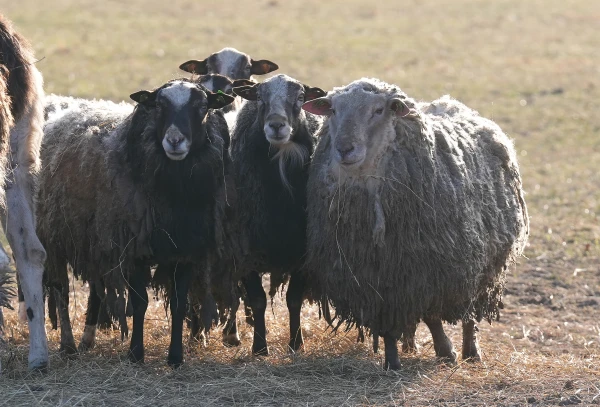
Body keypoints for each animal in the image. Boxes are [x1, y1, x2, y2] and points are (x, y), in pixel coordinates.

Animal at [37, 79, 234, 366]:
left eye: (202, 106)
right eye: (159, 105)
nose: (174, 141)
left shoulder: (185, 250)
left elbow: (179, 304)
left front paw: (176, 357)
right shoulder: (134, 249)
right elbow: (140, 303)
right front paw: (135, 353)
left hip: (96, 240)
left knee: (95, 289)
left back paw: (87, 339)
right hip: (54, 236)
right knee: (60, 290)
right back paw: (68, 345)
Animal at [227, 75, 326, 356]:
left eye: (301, 97)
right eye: (260, 97)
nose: (276, 125)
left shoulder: (303, 252)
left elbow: (294, 300)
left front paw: (296, 343)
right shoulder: (245, 250)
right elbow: (258, 299)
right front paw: (260, 347)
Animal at [304, 78, 528, 372]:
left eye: (378, 110)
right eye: (332, 110)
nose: (344, 149)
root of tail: (450, 103)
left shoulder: (429, 267)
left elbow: (432, 316)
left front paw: (446, 352)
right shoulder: (375, 278)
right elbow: (387, 323)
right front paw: (392, 361)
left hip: (480, 264)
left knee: (469, 310)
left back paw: (471, 351)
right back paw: (410, 344)